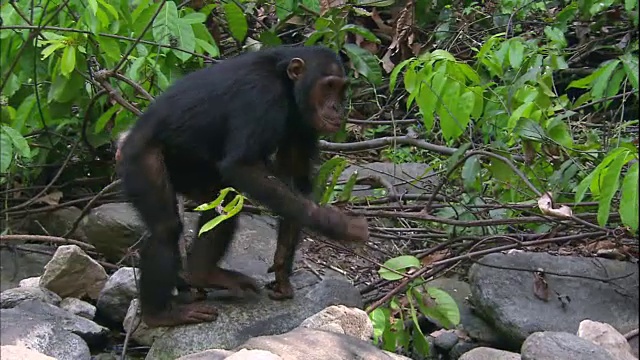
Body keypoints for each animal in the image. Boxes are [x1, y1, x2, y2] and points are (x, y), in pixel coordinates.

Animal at [116, 44, 370, 326]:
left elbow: (295, 182)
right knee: (166, 229)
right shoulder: (261, 97)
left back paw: (203, 274)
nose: (337, 107)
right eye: (328, 86)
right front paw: (339, 225)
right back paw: (159, 314)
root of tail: (124, 140)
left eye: (341, 88)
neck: (288, 86)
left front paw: (281, 271)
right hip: (139, 159)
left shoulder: (304, 125)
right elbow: (241, 166)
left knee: (222, 202)